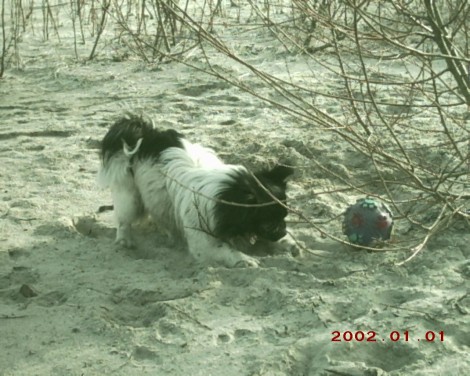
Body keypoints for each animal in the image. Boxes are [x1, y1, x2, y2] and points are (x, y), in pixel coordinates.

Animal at [97, 114, 292, 268]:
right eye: (268, 223)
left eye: (284, 218)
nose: (282, 231)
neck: (226, 192)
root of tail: (147, 133)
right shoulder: (204, 243)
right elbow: (226, 250)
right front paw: (244, 259)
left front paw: (287, 242)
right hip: (131, 199)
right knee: (124, 221)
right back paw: (125, 241)